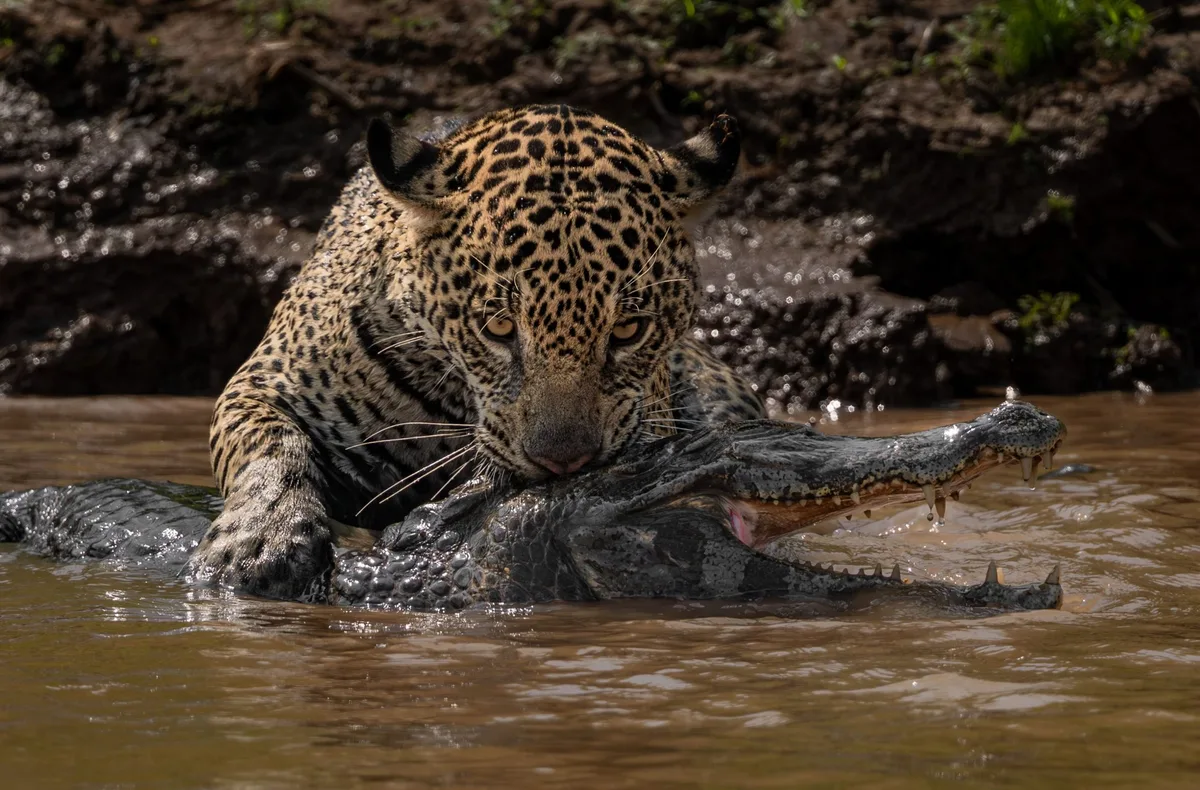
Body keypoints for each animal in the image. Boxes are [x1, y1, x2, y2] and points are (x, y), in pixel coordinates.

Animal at [187, 104, 765, 600]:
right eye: (500, 327)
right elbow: (270, 444)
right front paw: (259, 540)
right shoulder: (265, 382)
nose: (564, 463)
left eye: (627, 331)